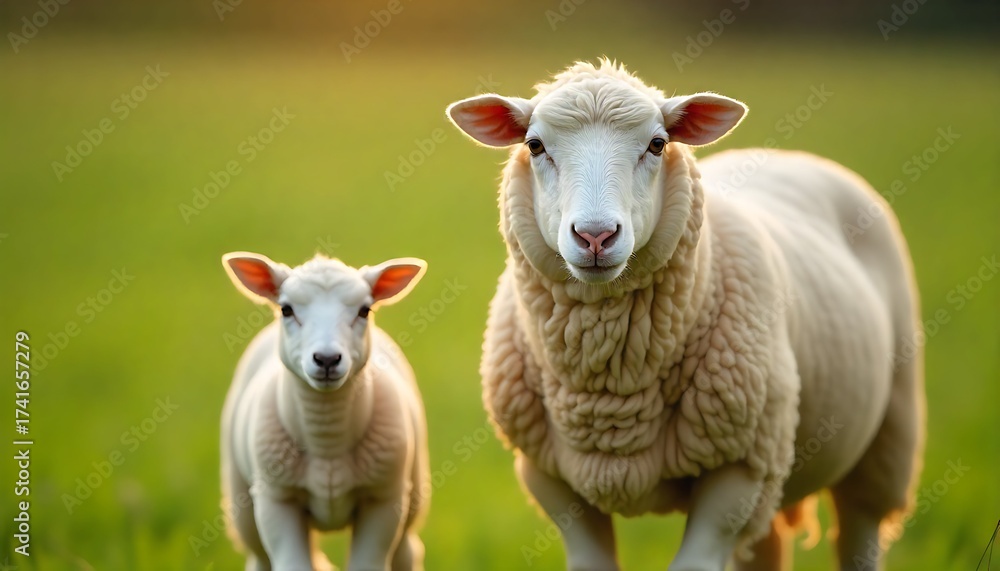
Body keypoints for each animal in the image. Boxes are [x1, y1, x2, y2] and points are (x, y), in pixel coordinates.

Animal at [219, 252, 430, 571]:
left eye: (365, 310)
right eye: (286, 309)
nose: (327, 359)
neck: (327, 440)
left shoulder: (384, 499)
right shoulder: (276, 500)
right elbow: (293, 565)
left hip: (411, 497)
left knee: (406, 552)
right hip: (242, 503)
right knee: (259, 559)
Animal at [446, 59, 924, 571]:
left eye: (657, 144)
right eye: (535, 146)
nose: (596, 236)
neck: (612, 393)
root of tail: (792, 157)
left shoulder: (739, 469)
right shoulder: (549, 476)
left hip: (885, 439)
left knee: (860, 530)